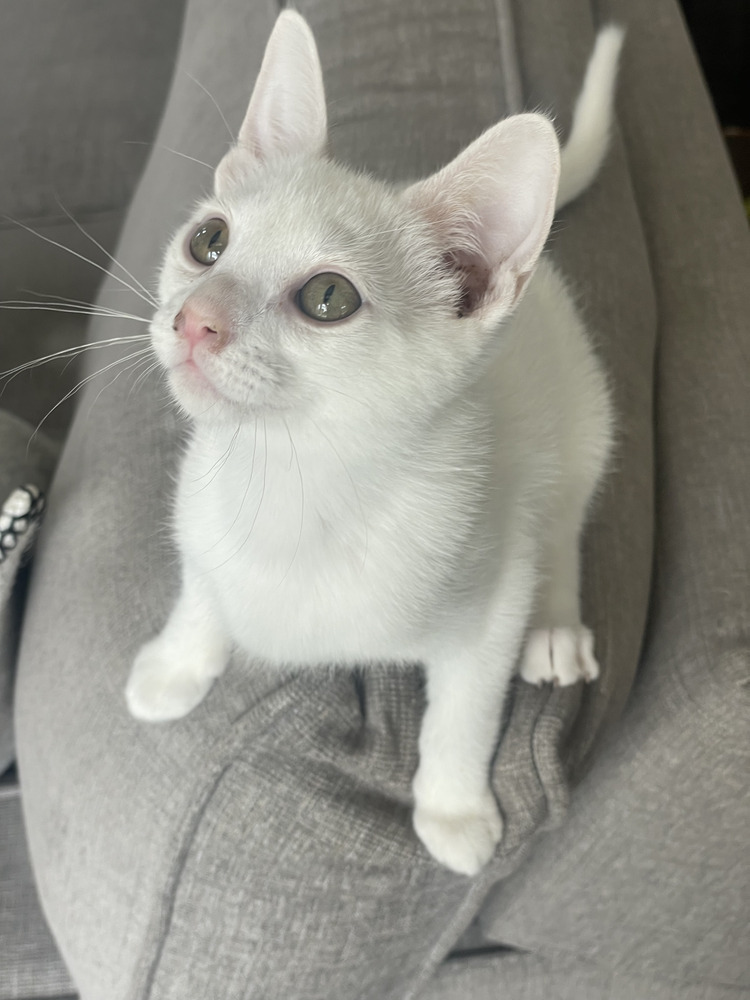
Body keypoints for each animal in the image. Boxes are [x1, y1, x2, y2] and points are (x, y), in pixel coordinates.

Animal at [126, 13, 624, 876]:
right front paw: (177, 663)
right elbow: (202, 590)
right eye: (209, 240)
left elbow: (465, 711)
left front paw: (454, 809)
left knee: (559, 529)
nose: (195, 319)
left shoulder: (490, 599)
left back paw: (556, 627)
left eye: (329, 297)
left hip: (583, 428)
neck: (293, 482)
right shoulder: (200, 519)